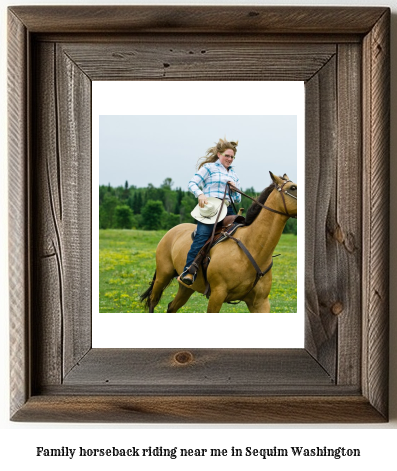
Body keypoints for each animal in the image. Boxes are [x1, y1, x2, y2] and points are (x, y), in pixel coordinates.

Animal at [141, 173, 296, 314]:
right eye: (293, 187)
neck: (253, 247)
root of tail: (171, 232)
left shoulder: (260, 302)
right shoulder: (217, 294)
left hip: (185, 287)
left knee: (171, 307)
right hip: (163, 276)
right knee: (153, 301)